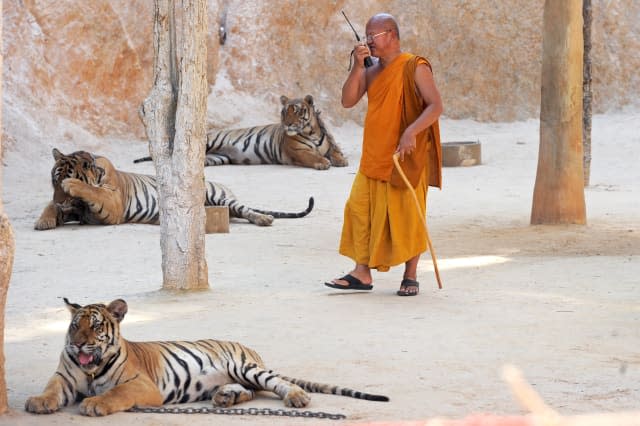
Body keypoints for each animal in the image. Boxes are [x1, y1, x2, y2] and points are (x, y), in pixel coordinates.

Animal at [26, 296, 390, 416]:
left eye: (96, 326)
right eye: (75, 326)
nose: (78, 345)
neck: (89, 370)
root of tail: (250, 349)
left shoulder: (141, 386)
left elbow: (115, 394)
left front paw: (95, 404)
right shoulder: (64, 377)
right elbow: (51, 389)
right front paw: (38, 402)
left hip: (245, 366)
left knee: (278, 384)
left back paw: (298, 399)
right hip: (239, 376)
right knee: (250, 392)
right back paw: (225, 398)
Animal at [35, 149, 316, 230]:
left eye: (62, 183)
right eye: (52, 181)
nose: (60, 199)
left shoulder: (111, 206)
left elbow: (92, 191)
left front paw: (75, 185)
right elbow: (50, 206)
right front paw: (44, 220)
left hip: (220, 196)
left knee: (246, 210)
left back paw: (264, 218)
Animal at [132, 95, 348, 170]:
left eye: (296, 111)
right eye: (284, 112)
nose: (287, 124)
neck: (311, 132)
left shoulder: (327, 145)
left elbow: (334, 151)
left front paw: (341, 160)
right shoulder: (298, 152)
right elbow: (312, 156)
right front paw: (323, 163)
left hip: (217, 158)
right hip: (209, 142)